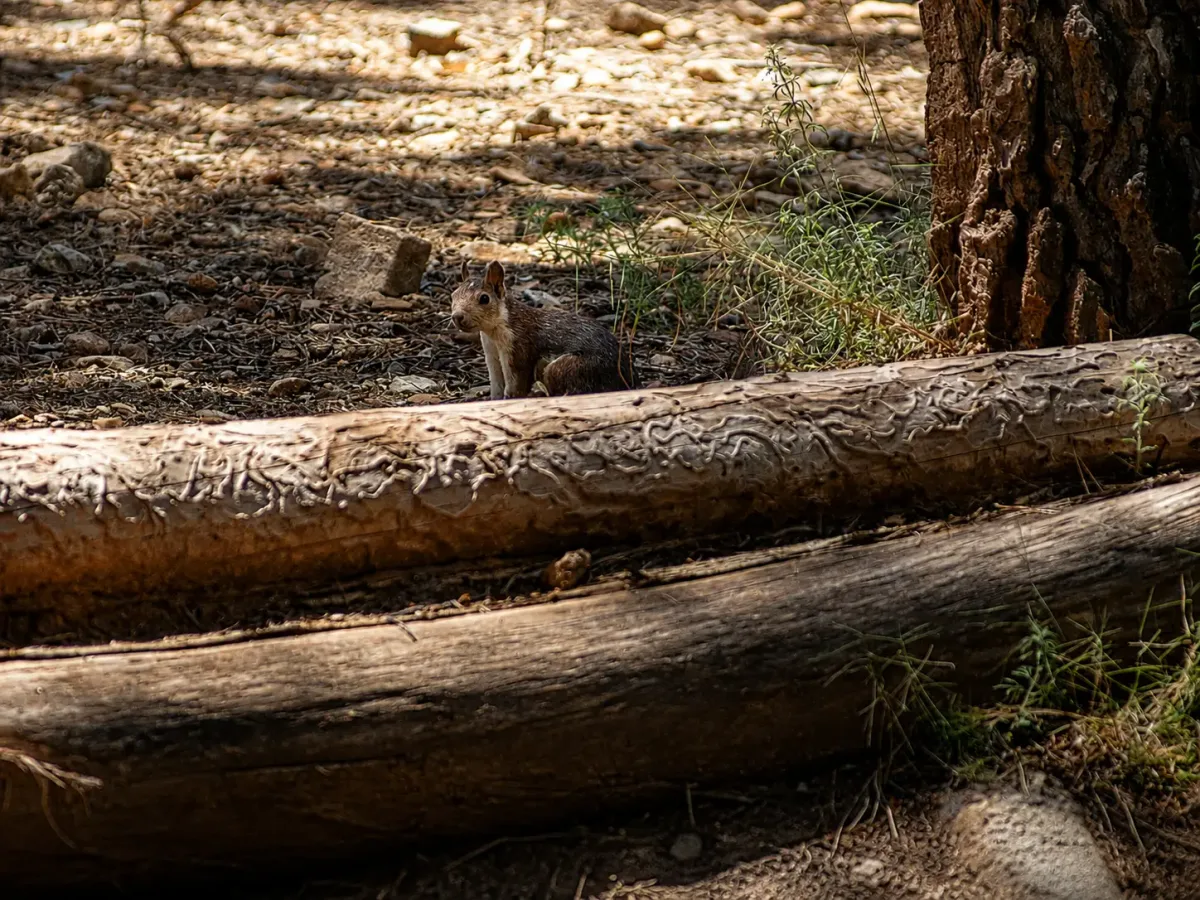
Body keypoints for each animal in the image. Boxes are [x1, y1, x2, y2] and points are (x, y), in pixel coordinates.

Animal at [450, 260, 638, 399]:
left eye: (484, 298)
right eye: (453, 295)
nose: (457, 316)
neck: (493, 333)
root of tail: (628, 379)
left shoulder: (518, 349)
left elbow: (516, 385)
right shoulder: (491, 353)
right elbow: (496, 384)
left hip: (570, 368)